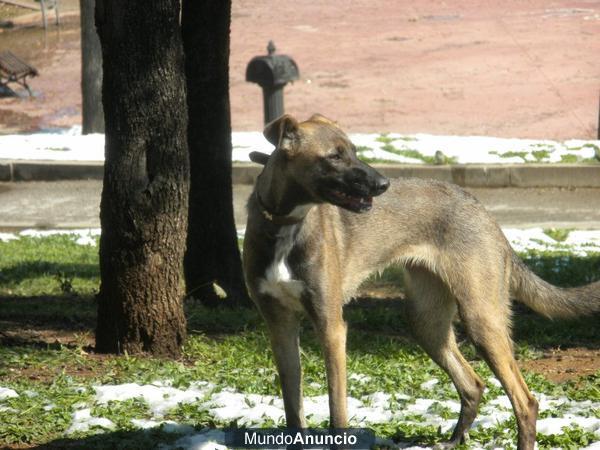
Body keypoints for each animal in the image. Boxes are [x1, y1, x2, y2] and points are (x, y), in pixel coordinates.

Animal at [241, 113, 596, 450]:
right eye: (334, 156)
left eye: (354, 151)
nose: (383, 184)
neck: (284, 224)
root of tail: (482, 211)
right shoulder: (280, 326)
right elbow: (293, 408)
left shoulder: (331, 327)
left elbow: (337, 411)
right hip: (426, 321)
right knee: (473, 384)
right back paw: (453, 440)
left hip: (481, 318)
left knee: (525, 401)